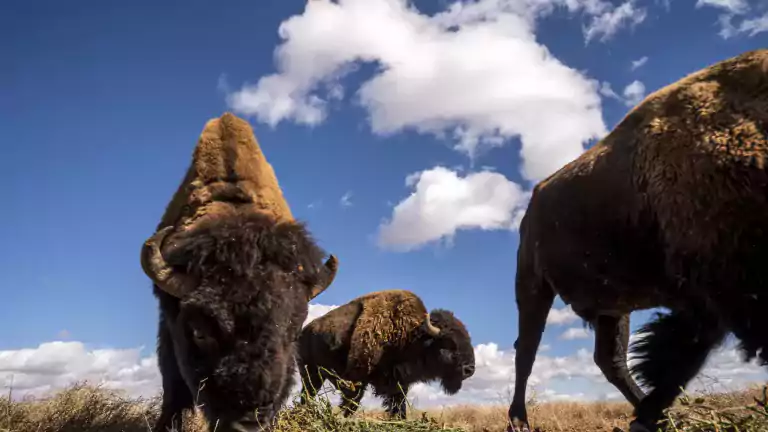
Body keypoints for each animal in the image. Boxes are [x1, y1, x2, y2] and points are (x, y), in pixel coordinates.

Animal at [298, 290, 474, 418]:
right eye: (448, 343)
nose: (469, 370)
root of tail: (304, 330)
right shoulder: (357, 379)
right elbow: (351, 403)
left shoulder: (398, 384)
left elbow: (398, 407)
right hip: (310, 373)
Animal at [508, 47, 768, 432]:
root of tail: (535, 198)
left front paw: (650, 416)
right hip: (534, 286)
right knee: (526, 351)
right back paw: (519, 420)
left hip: (613, 304)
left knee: (609, 359)